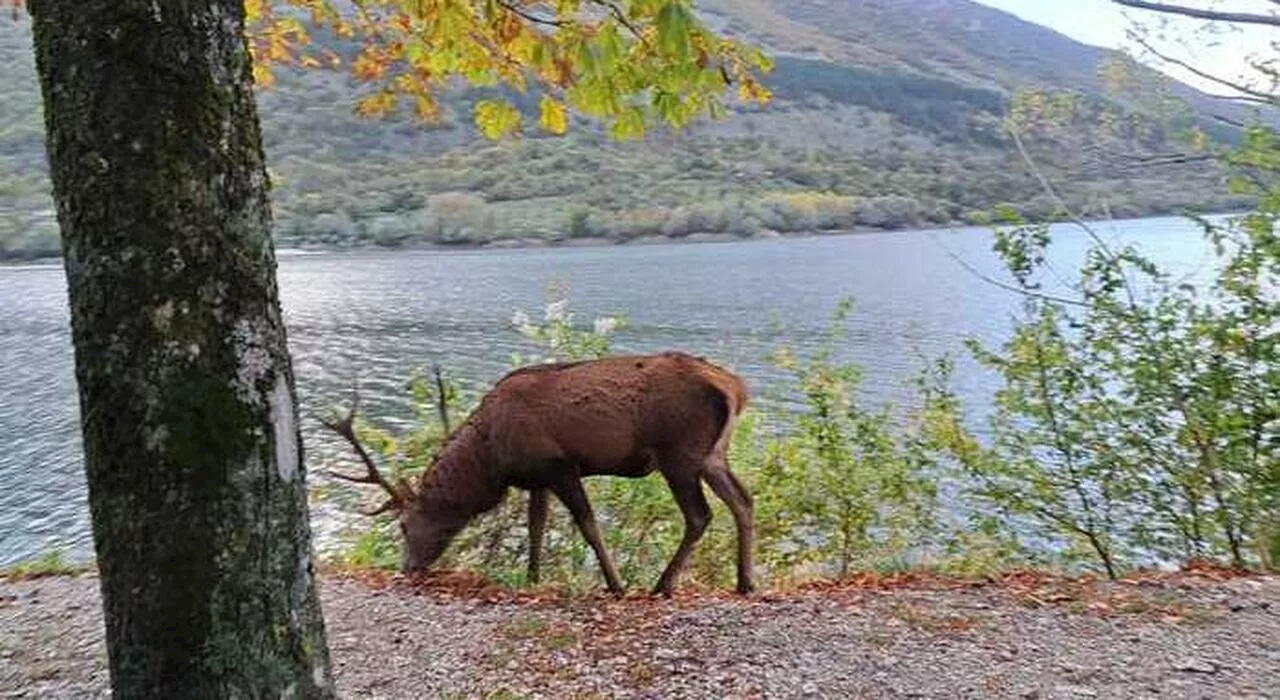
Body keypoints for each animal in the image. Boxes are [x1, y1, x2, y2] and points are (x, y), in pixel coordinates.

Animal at [325, 350, 752, 596]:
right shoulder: (537, 478)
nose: (407, 568)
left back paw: (663, 585)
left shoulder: (560, 465)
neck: (491, 460)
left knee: (699, 515)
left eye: (403, 525)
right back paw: (744, 582)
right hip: (713, 455)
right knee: (744, 501)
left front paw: (615, 585)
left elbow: (588, 525)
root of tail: (735, 389)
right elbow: (537, 526)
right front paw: (532, 578)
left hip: (679, 453)